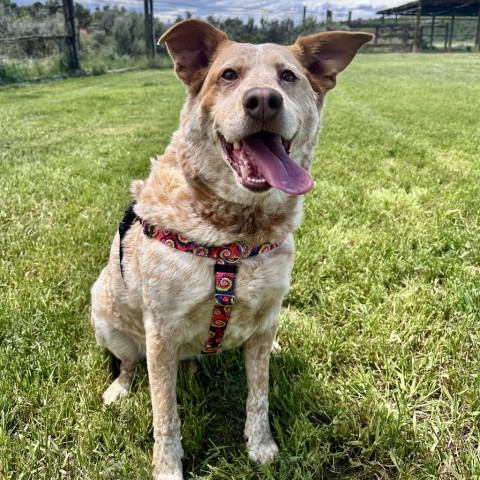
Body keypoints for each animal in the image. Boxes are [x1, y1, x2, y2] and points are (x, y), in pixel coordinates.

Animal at [91, 19, 376, 480]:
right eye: (228, 75)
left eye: (288, 76)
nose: (263, 101)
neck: (237, 234)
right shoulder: (161, 332)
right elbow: (165, 414)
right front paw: (167, 468)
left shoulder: (265, 317)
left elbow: (258, 396)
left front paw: (261, 448)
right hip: (105, 314)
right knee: (129, 362)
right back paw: (119, 388)